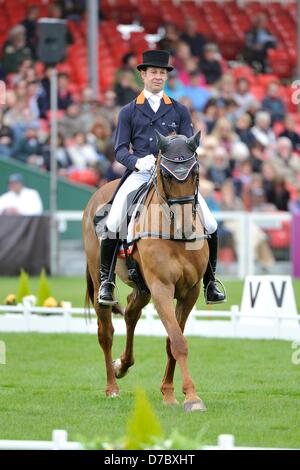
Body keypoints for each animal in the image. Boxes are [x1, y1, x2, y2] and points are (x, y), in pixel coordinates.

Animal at [82, 131, 209, 412]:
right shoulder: (162, 288)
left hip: (142, 287)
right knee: (106, 332)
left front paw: (170, 393)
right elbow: (178, 341)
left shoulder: (190, 292)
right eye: (166, 175)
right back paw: (112, 387)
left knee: (131, 311)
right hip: (102, 283)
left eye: (195, 172)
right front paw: (192, 398)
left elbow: (172, 341)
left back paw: (122, 365)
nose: (186, 225)